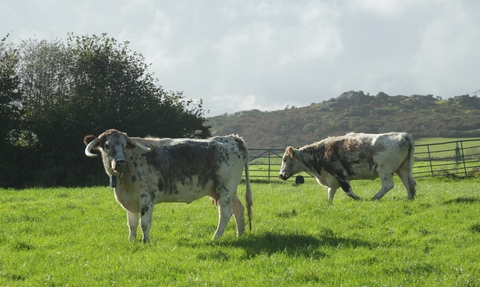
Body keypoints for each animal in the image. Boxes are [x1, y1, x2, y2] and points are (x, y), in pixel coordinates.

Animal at [84, 129, 253, 244]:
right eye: (106, 145)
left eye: (125, 145)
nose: (120, 163)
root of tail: (233, 138)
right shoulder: (129, 200)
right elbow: (131, 224)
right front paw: (131, 241)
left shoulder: (146, 197)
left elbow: (144, 223)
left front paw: (146, 242)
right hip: (227, 191)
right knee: (238, 208)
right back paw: (240, 234)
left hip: (225, 188)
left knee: (225, 213)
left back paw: (215, 237)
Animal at [278, 132, 416, 201]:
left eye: (285, 159)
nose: (280, 175)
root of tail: (404, 135)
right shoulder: (332, 179)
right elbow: (330, 193)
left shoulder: (340, 175)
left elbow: (348, 191)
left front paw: (359, 198)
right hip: (403, 168)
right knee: (409, 183)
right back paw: (409, 198)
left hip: (384, 169)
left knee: (388, 185)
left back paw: (375, 197)